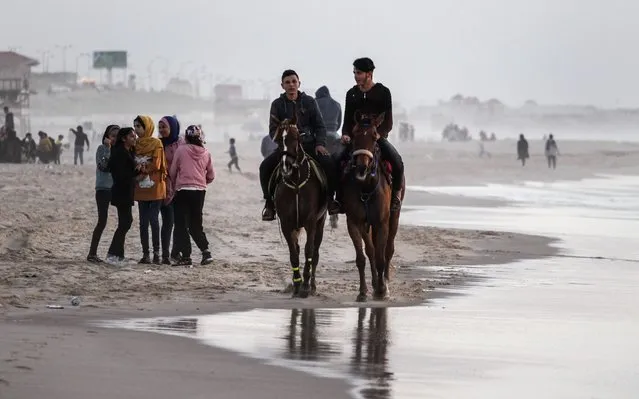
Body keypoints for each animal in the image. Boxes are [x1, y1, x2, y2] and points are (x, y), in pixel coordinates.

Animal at [272, 111, 330, 296]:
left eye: (295, 137)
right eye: (278, 139)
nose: (286, 166)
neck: (296, 182)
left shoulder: (311, 222)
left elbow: (309, 251)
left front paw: (305, 285)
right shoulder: (286, 223)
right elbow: (293, 252)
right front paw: (297, 283)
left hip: (320, 222)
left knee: (315, 252)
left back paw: (312, 285)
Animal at [344, 112, 404, 300]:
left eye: (375, 136)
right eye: (354, 134)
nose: (362, 167)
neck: (367, 187)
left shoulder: (382, 222)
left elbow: (380, 256)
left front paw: (382, 290)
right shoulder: (355, 221)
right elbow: (363, 256)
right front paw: (363, 291)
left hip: (394, 216)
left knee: (388, 249)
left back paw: (385, 282)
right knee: (372, 249)